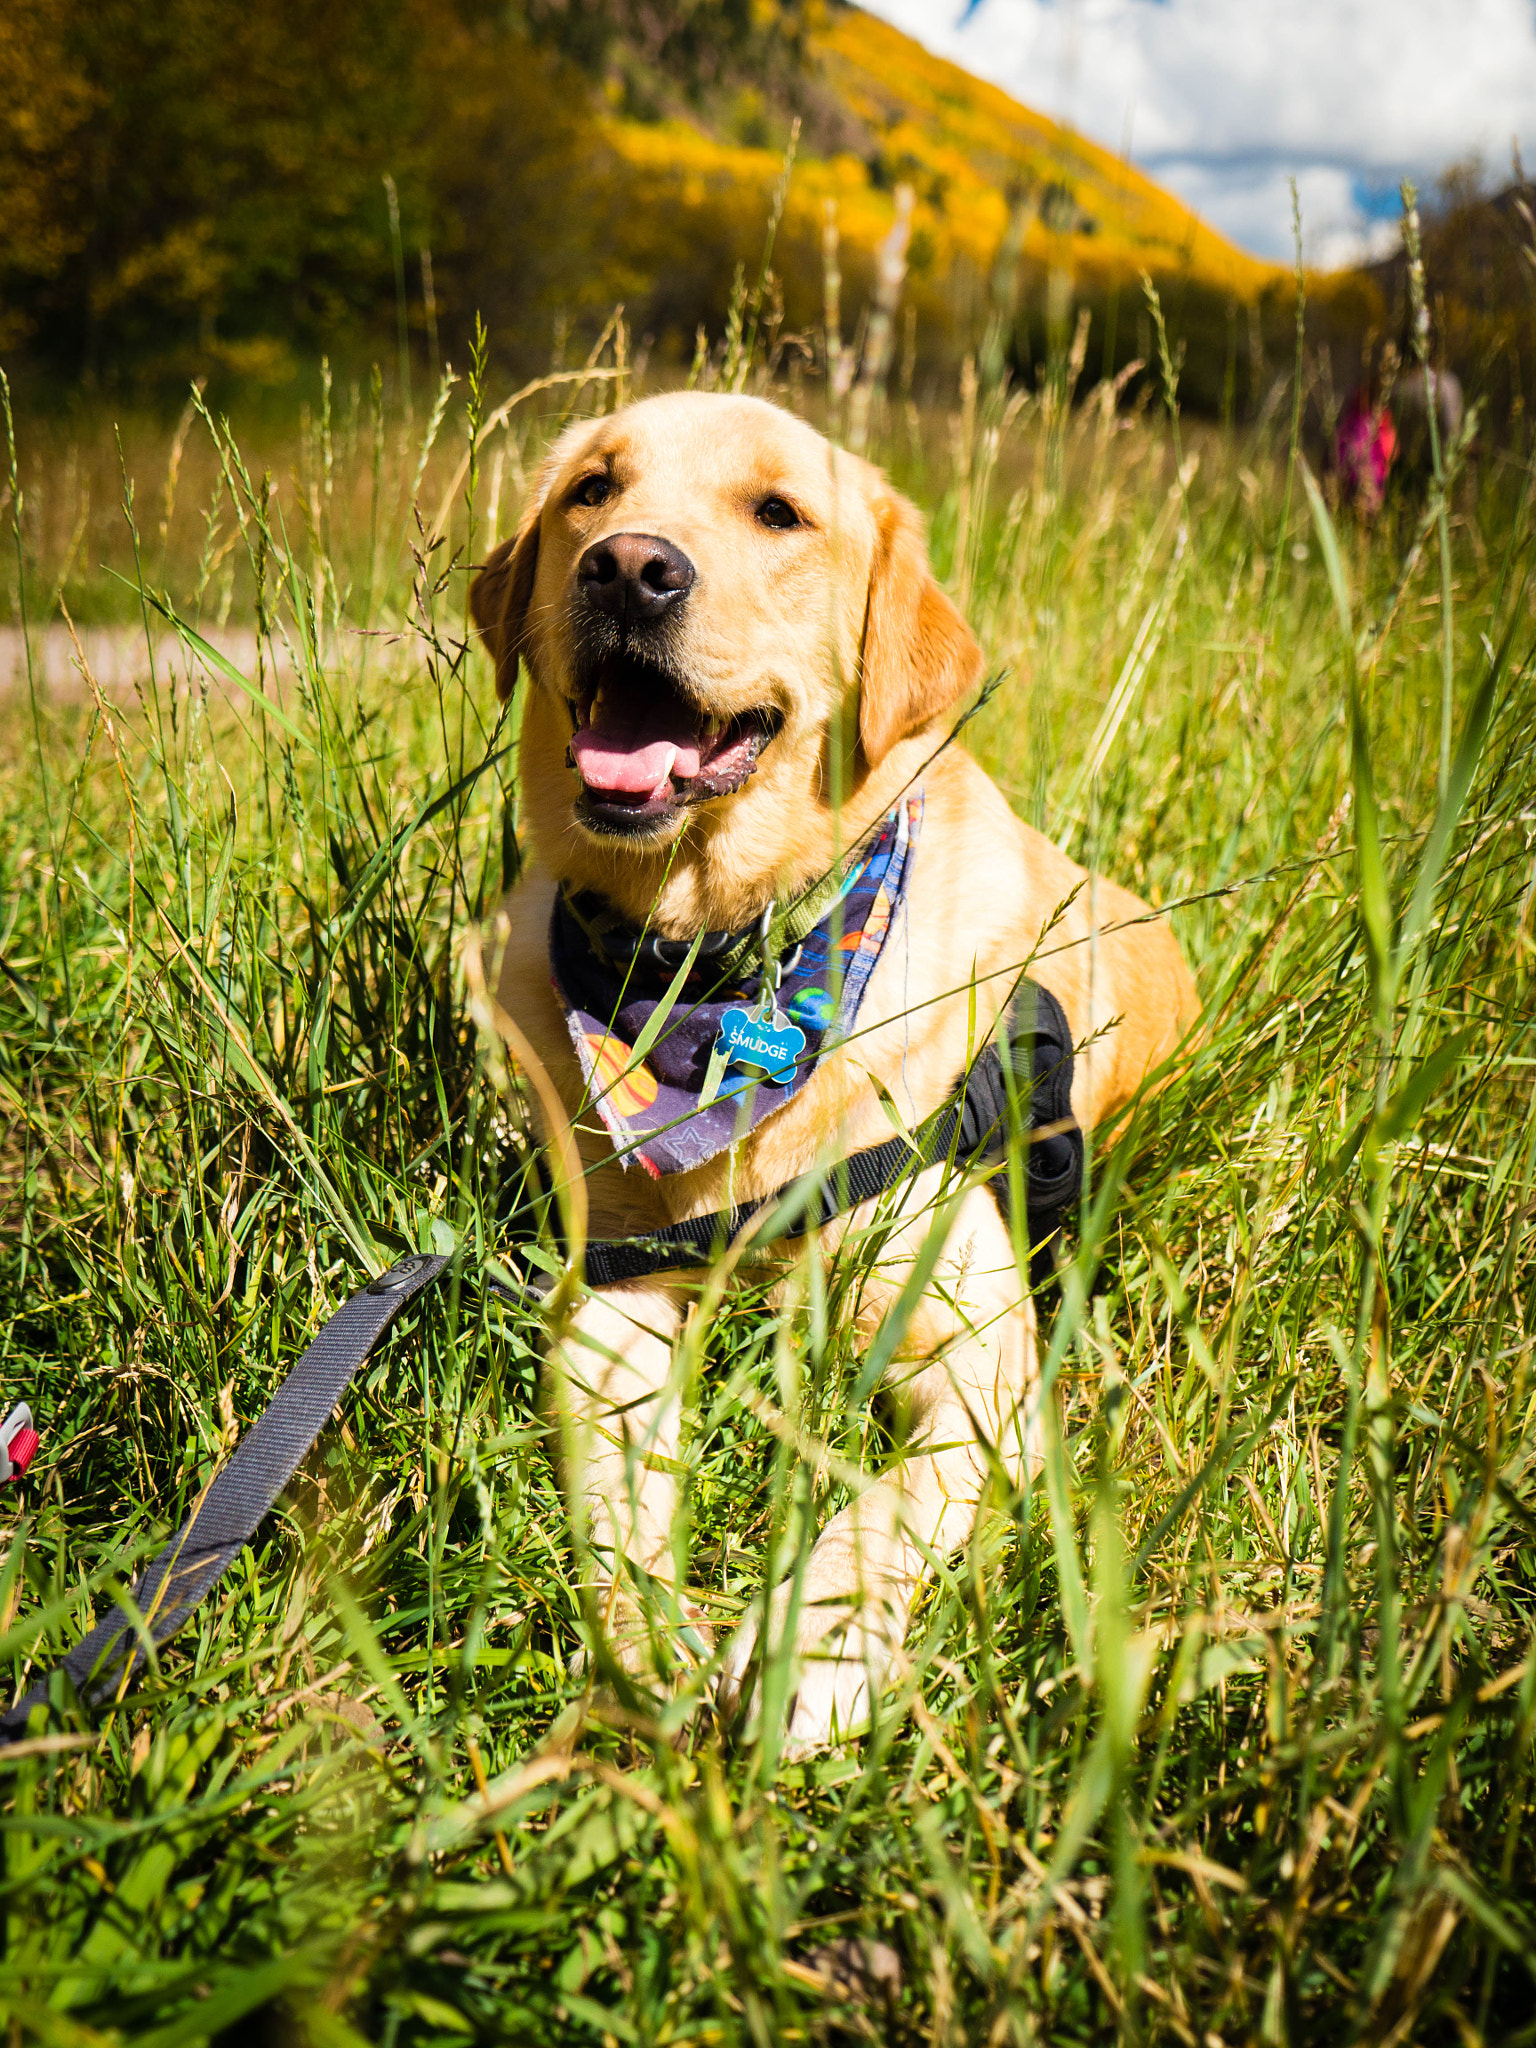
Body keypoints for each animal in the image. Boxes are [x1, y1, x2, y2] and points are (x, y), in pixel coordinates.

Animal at [473, 391, 1204, 1753]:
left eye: (781, 513)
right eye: (593, 489)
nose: (630, 566)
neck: (717, 966)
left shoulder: (981, 1366)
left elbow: (884, 1507)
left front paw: (804, 1652)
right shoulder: (610, 1304)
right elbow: (620, 1498)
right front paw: (649, 1638)